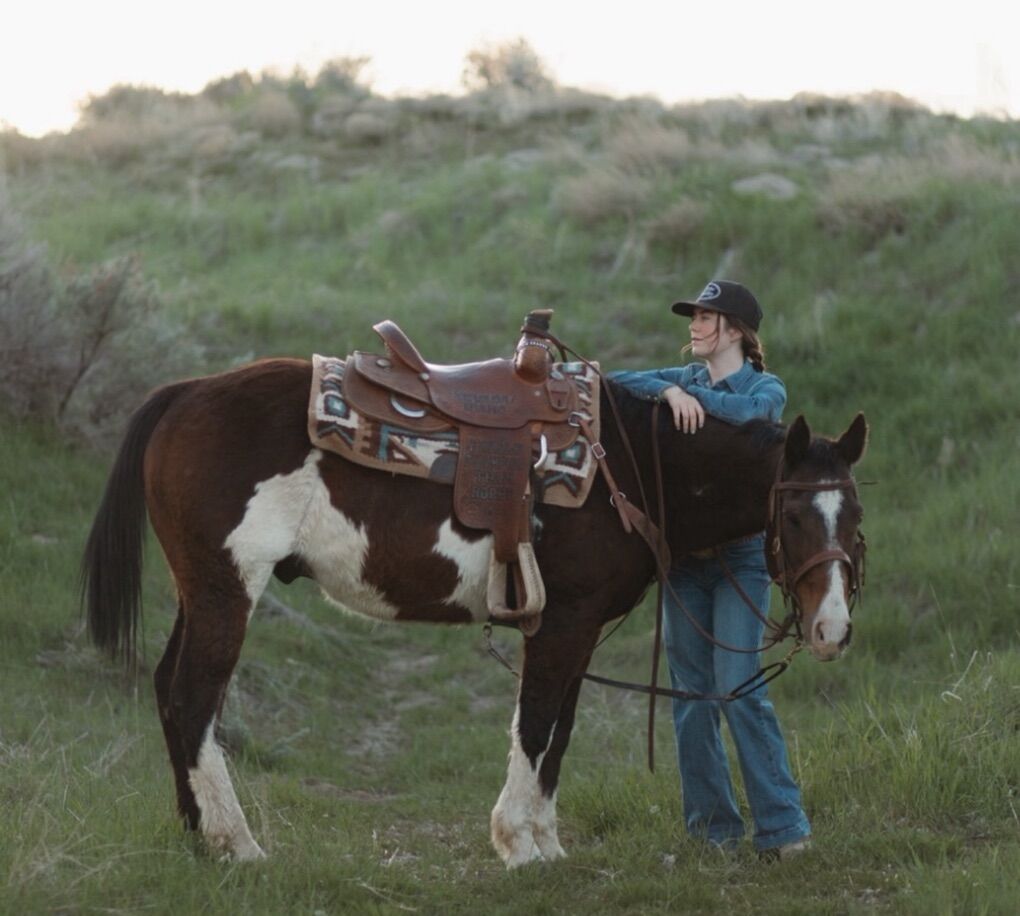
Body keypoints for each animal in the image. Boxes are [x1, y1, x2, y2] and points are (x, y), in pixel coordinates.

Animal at [81, 356, 868, 866]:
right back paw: (237, 844)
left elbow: (560, 732)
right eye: (794, 517)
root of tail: (185, 394)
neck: (626, 468)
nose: (832, 630)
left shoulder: (576, 631)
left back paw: (197, 835)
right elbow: (538, 724)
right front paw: (518, 843)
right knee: (195, 699)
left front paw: (547, 843)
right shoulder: (562, 623)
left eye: (855, 516)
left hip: (200, 592)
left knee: (168, 691)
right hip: (227, 589)